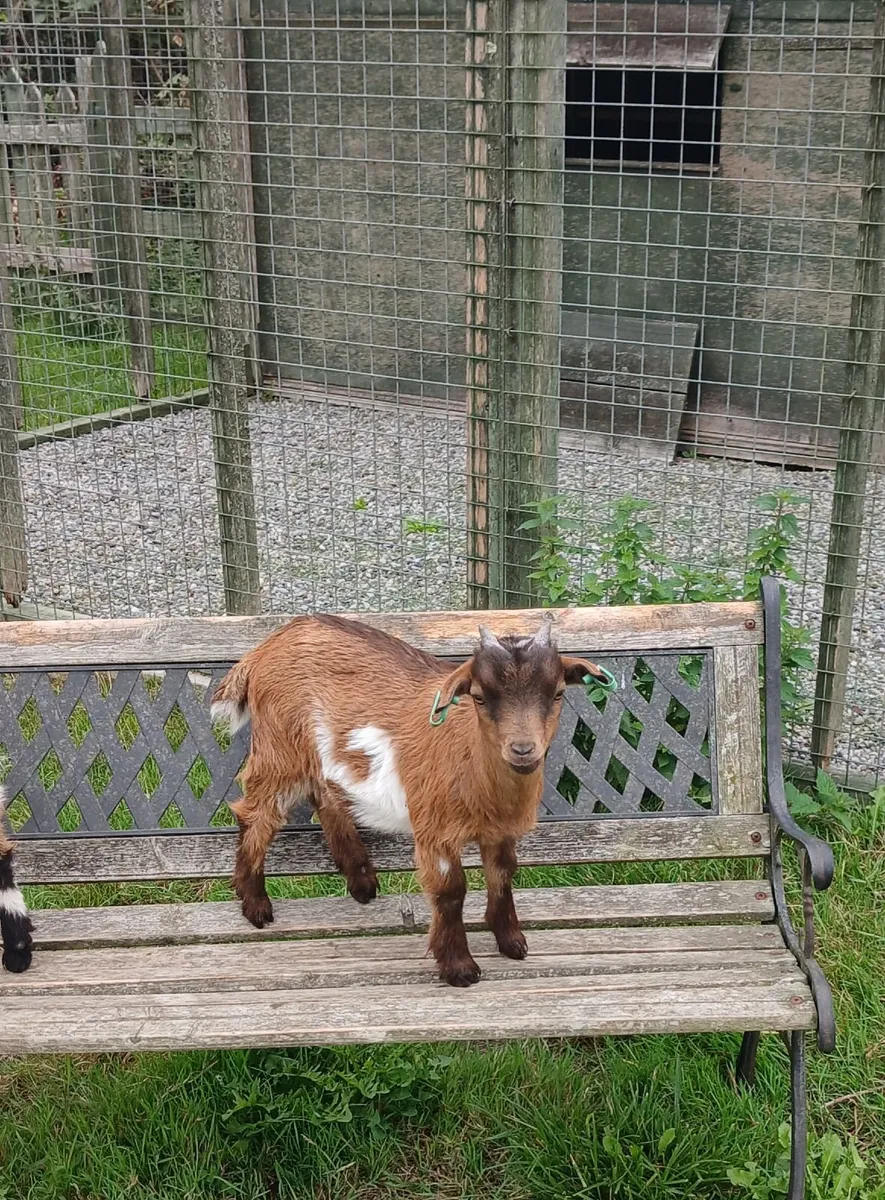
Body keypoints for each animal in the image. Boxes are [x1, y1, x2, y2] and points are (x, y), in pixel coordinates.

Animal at [211, 613, 607, 986]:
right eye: (479, 696)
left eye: (558, 693)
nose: (523, 750)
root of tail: (263, 649)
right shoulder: (436, 829)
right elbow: (451, 892)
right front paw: (459, 968)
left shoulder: (499, 831)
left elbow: (503, 875)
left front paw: (511, 942)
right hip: (279, 747)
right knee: (257, 813)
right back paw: (256, 906)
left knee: (324, 795)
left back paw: (361, 881)